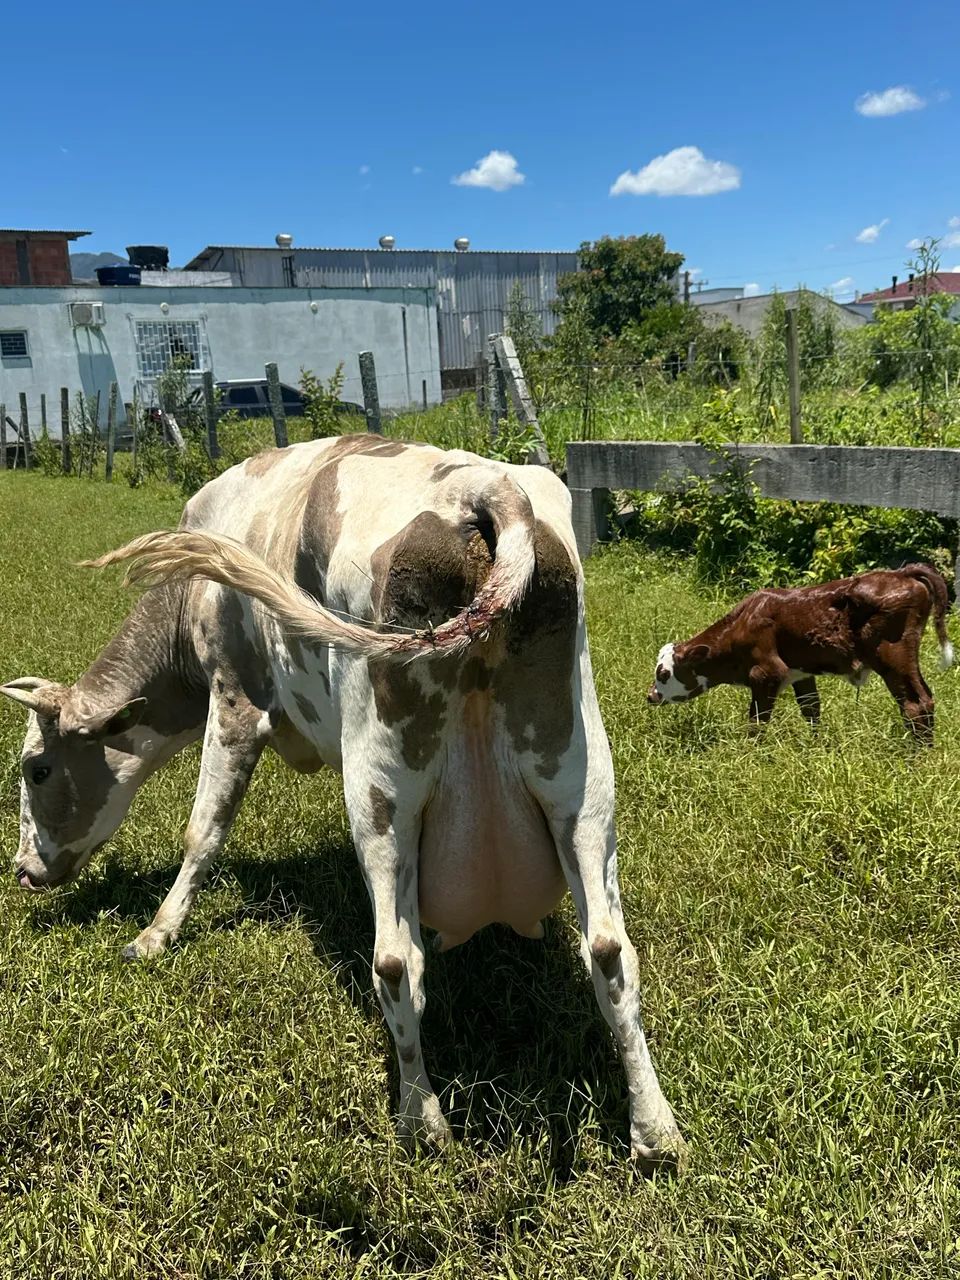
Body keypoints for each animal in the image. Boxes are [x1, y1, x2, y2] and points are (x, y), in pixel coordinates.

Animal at [1, 434, 683, 1168]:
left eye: (36, 769)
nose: (24, 870)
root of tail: (481, 489)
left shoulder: (234, 699)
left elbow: (203, 830)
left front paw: (156, 933)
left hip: (381, 788)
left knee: (395, 960)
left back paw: (422, 1122)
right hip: (580, 782)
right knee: (610, 952)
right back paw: (655, 1129)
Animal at [647, 563, 953, 742]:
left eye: (664, 673)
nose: (651, 696)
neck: (742, 624)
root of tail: (902, 573)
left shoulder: (766, 674)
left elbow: (757, 721)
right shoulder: (801, 674)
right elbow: (811, 710)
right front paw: (817, 747)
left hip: (893, 655)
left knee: (915, 704)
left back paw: (915, 758)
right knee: (925, 699)